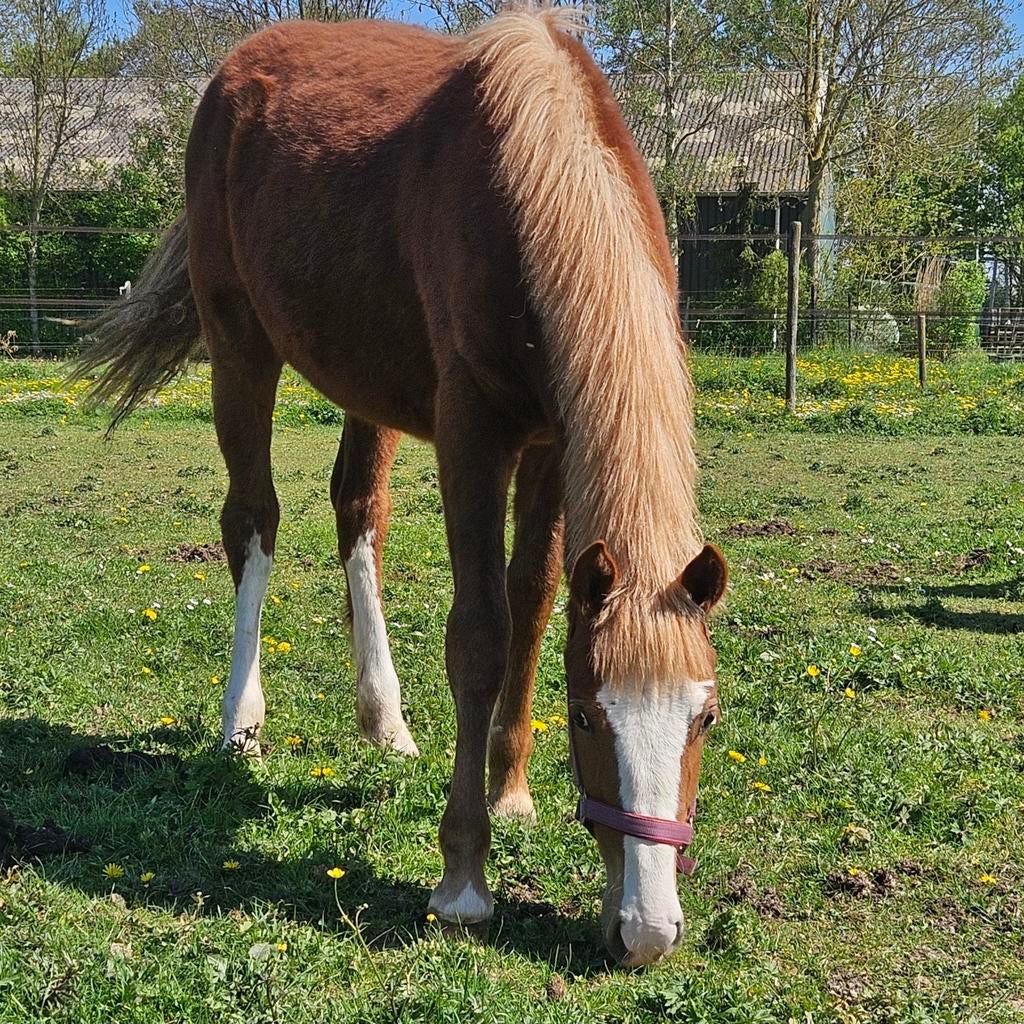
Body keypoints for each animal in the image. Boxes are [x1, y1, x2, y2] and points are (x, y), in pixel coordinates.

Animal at [74, 7, 728, 966]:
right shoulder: (472, 434)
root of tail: (238, 68)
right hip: (241, 348)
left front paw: (512, 793)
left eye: (704, 720)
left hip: (363, 381)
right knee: (252, 520)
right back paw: (242, 722)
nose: (646, 931)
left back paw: (384, 720)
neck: (534, 179)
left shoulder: (551, 440)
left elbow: (535, 599)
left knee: (358, 512)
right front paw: (463, 879)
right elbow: (481, 633)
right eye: (586, 717)